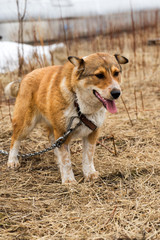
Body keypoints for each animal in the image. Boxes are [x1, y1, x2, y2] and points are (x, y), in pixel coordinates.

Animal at [5, 52, 128, 184]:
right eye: (99, 75)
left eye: (116, 73)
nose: (116, 93)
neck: (79, 103)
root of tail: (24, 78)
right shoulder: (63, 131)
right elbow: (66, 160)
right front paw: (68, 180)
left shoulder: (92, 132)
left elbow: (88, 156)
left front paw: (89, 173)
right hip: (26, 124)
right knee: (15, 139)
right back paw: (12, 161)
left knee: (52, 139)